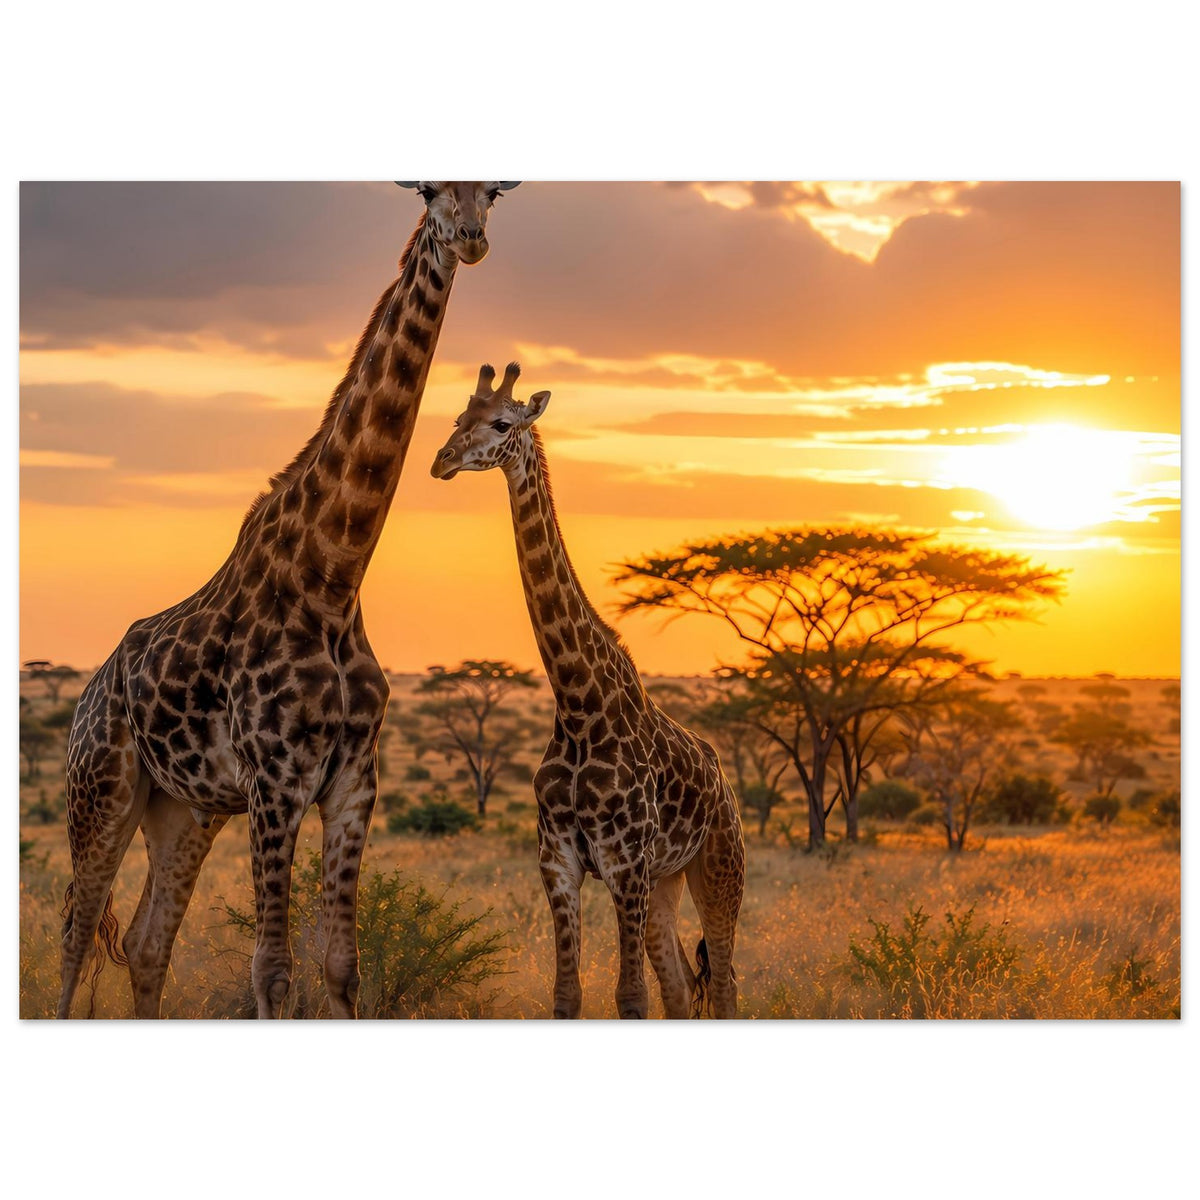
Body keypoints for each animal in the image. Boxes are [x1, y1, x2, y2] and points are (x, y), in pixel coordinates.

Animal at [57, 181, 520, 1019]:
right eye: (431, 190)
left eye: (494, 193)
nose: (469, 238)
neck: (332, 578)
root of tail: (90, 689)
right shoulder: (275, 781)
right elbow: (271, 969)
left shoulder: (352, 782)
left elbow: (341, 966)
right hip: (102, 786)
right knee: (77, 928)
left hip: (184, 807)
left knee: (145, 941)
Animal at [430, 363, 745, 1018]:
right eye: (457, 418)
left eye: (502, 423)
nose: (441, 460)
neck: (577, 702)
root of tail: (726, 785)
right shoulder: (559, 861)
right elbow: (567, 994)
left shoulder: (624, 862)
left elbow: (630, 996)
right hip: (667, 880)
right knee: (683, 984)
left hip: (718, 867)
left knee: (725, 982)